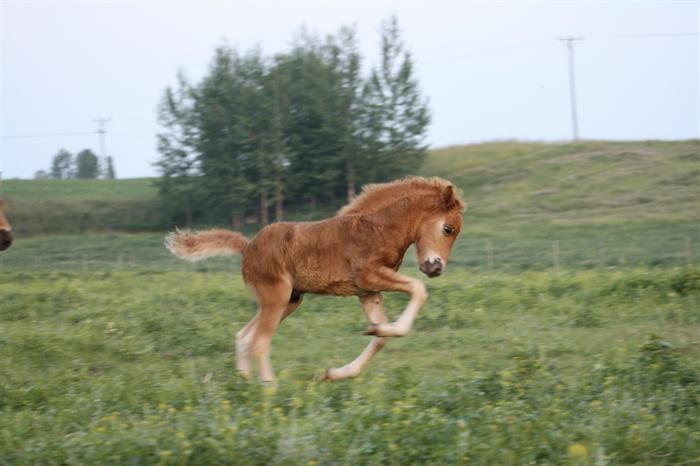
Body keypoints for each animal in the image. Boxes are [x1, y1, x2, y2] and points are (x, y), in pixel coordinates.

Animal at [167, 177, 468, 380]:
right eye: (448, 228)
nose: (436, 268)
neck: (379, 227)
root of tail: (248, 247)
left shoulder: (367, 291)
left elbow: (380, 338)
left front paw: (339, 369)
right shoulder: (369, 275)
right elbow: (418, 289)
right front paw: (386, 328)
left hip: (289, 300)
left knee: (243, 335)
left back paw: (245, 383)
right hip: (275, 298)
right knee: (259, 341)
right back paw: (269, 389)